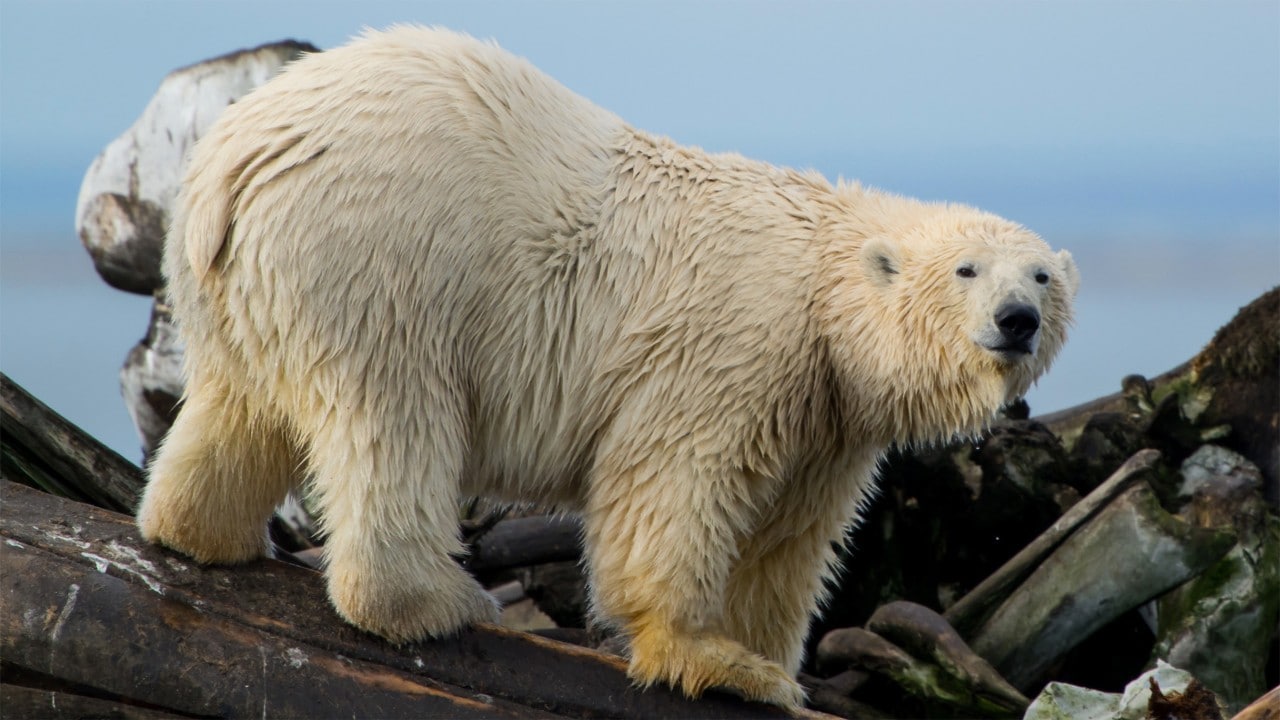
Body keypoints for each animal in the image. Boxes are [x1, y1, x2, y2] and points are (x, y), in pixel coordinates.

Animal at [137, 25, 1080, 707]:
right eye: (967, 270)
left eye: (1040, 275)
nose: (1017, 321)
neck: (821, 279)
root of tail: (234, 160)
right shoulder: (738, 342)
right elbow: (674, 484)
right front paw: (714, 662)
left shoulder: (825, 413)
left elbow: (788, 538)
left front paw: (768, 659)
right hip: (381, 262)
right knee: (394, 419)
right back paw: (436, 602)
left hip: (235, 287)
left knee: (240, 404)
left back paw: (200, 532)